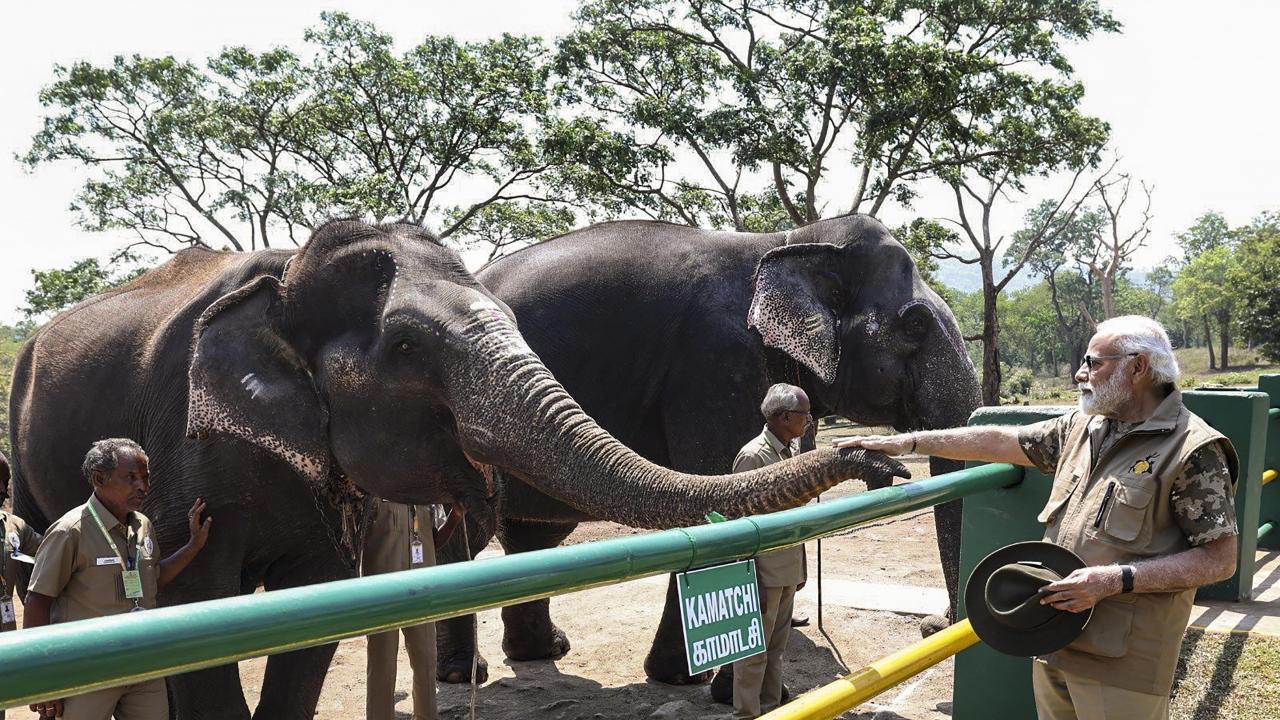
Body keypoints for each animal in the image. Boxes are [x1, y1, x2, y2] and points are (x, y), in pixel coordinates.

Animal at [430, 211, 977, 676]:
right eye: (915, 324)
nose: (933, 624)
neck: (789, 239)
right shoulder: (716, 363)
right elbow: (715, 495)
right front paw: (680, 677)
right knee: (466, 535)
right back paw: (462, 671)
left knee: (536, 533)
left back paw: (543, 651)